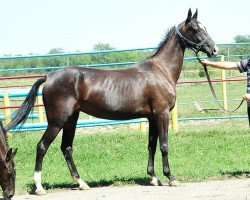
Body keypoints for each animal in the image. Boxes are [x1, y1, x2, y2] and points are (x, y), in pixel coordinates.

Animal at [5, 8, 217, 195]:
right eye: (195, 29)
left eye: (204, 26)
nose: (214, 49)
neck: (160, 71)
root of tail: (49, 76)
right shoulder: (162, 114)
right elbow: (164, 146)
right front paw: (170, 178)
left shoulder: (152, 117)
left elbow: (151, 145)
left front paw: (153, 177)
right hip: (57, 121)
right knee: (42, 147)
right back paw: (39, 187)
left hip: (71, 119)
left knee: (66, 147)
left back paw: (81, 183)